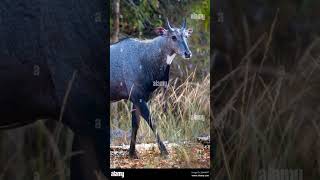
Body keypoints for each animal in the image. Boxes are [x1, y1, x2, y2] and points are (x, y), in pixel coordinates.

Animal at [111, 18, 192, 158]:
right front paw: (164, 151)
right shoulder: (138, 97)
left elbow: (135, 124)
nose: (188, 53)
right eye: (173, 37)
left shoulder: (138, 97)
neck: (145, 59)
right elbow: (151, 121)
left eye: (186, 36)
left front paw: (132, 153)